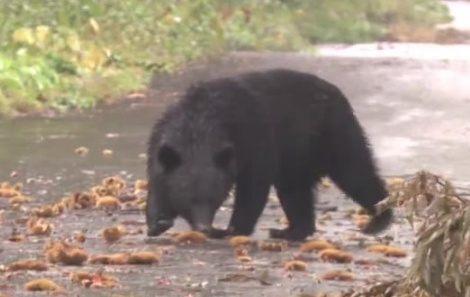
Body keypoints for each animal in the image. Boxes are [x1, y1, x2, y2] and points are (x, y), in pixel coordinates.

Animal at [145, 67, 394, 240]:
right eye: (188, 197)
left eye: (214, 198)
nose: (204, 227)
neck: (199, 127)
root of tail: (334, 90)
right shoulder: (159, 143)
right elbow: (157, 182)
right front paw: (158, 222)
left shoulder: (253, 137)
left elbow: (253, 185)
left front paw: (230, 229)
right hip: (299, 155)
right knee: (295, 190)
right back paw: (291, 231)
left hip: (333, 132)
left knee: (356, 172)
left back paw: (378, 219)